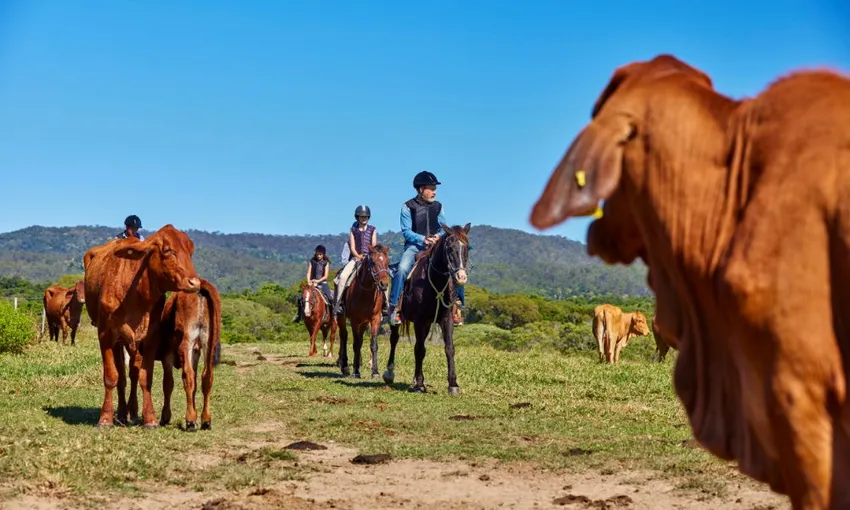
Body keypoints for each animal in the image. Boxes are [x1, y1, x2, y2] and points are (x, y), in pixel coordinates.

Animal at [336, 244, 392, 378]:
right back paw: (345, 367)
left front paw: (375, 371)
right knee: (344, 336)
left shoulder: (375, 319)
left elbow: (373, 344)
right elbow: (355, 344)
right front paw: (356, 371)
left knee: (359, 339)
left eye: (387, 262)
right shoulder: (355, 320)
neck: (366, 291)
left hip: (364, 322)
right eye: (373, 262)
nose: (384, 284)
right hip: (342, 318)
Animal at [384, 223, 471, 394]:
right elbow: (420, 349)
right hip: (398, 319)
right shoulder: (420, 320)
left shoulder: (445, 319)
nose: (461, 277)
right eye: (449, 248)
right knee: (395, 340)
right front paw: (419, 384)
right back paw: (389, 373)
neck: (435, 282)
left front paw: (453, 384)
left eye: (467, 248)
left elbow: (449, 348)